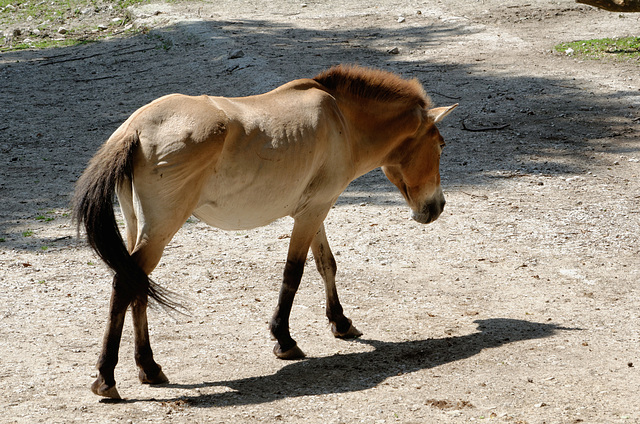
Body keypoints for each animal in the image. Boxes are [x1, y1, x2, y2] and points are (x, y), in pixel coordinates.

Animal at [72, 64, 458, 400]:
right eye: (440, 145)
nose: (436, 207)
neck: (341, 118)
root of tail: (135, 129)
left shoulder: (314, 210)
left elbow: (326, 265)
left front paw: (341, 323)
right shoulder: (313, 212)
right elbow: (294, 273)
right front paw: (284, 340)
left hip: (141, 229)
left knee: (136, 283)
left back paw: (150, 369)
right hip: (161, 230)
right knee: (126, 285)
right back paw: (106, 379)